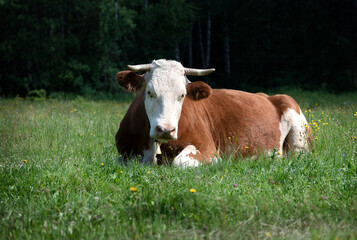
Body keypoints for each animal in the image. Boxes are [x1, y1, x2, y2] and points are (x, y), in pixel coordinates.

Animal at [114, 59, 312, 168]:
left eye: (182, 95)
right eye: (149, 92)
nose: (165, 129)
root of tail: (270, 96)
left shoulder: (207, 148)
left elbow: (179, 162)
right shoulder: (123, 153)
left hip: (298, 135)